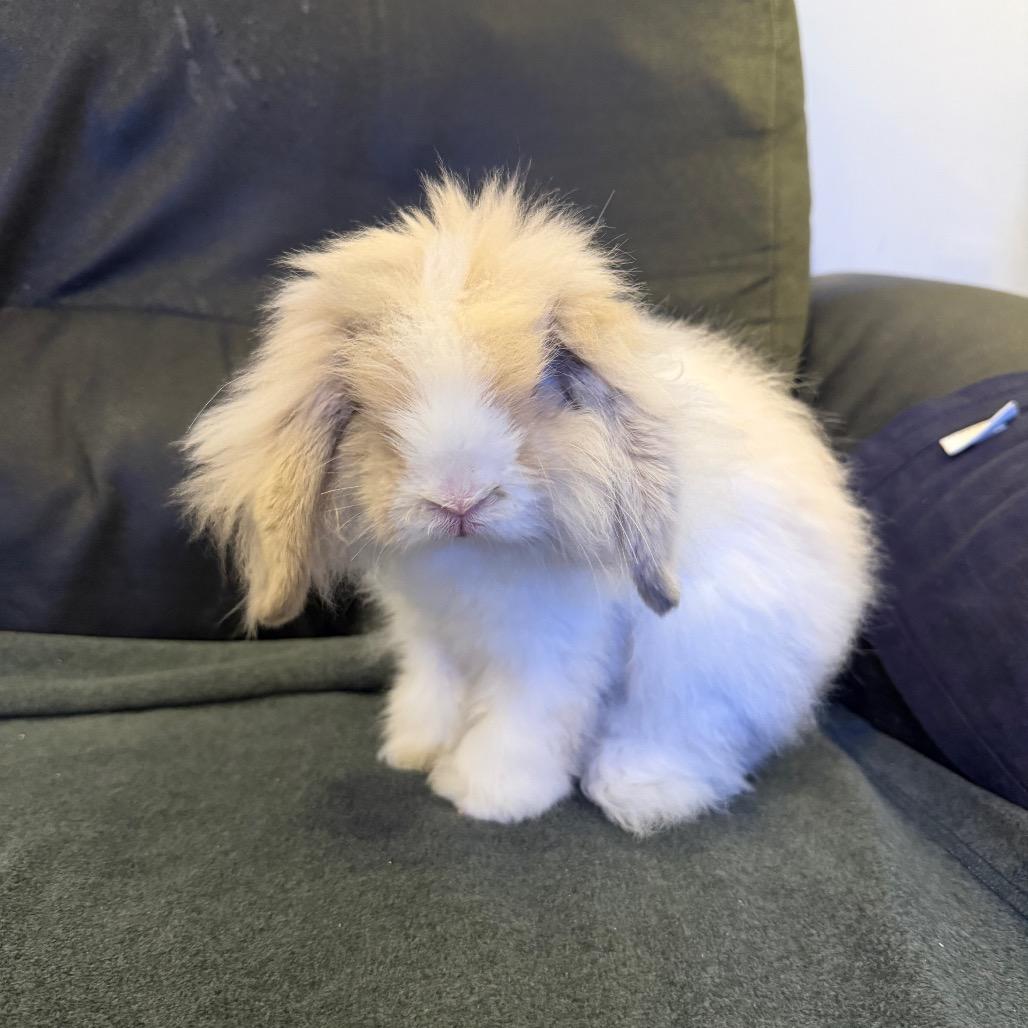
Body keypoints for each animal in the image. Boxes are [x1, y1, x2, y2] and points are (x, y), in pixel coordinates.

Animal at [178, 173, 874, 835]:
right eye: (370, 406)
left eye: (546, 386)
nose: (459, 498)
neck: (473, 556)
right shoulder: (432, 636)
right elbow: (434, 690)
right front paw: (415, 750)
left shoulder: (550, 651)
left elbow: (521, 722)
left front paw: (487, 795)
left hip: (700, 657)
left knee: (685, 733)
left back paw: (639, 792)